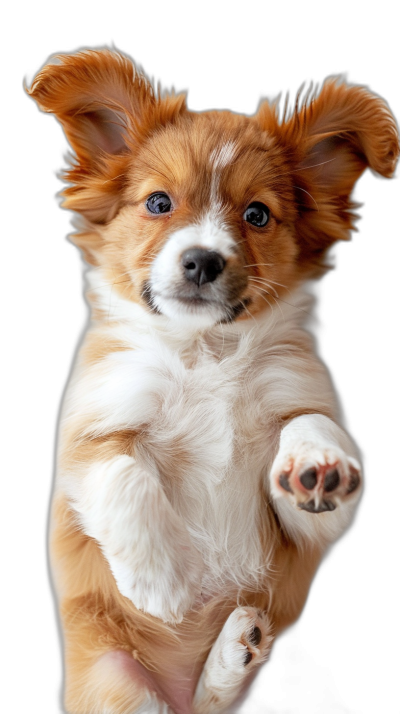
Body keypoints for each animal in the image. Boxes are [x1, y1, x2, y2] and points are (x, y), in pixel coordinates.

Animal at [26, 47, 398, 708]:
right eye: (158, 203)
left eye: (257, 215)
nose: (201, 260)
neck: (206, 353)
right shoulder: (88, 435)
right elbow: (121, 472)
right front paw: (164, 580)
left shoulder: (305, 528)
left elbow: (308, 422)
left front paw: (318, 463)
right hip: (115, 682)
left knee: (212, 699)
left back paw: (235, 648)